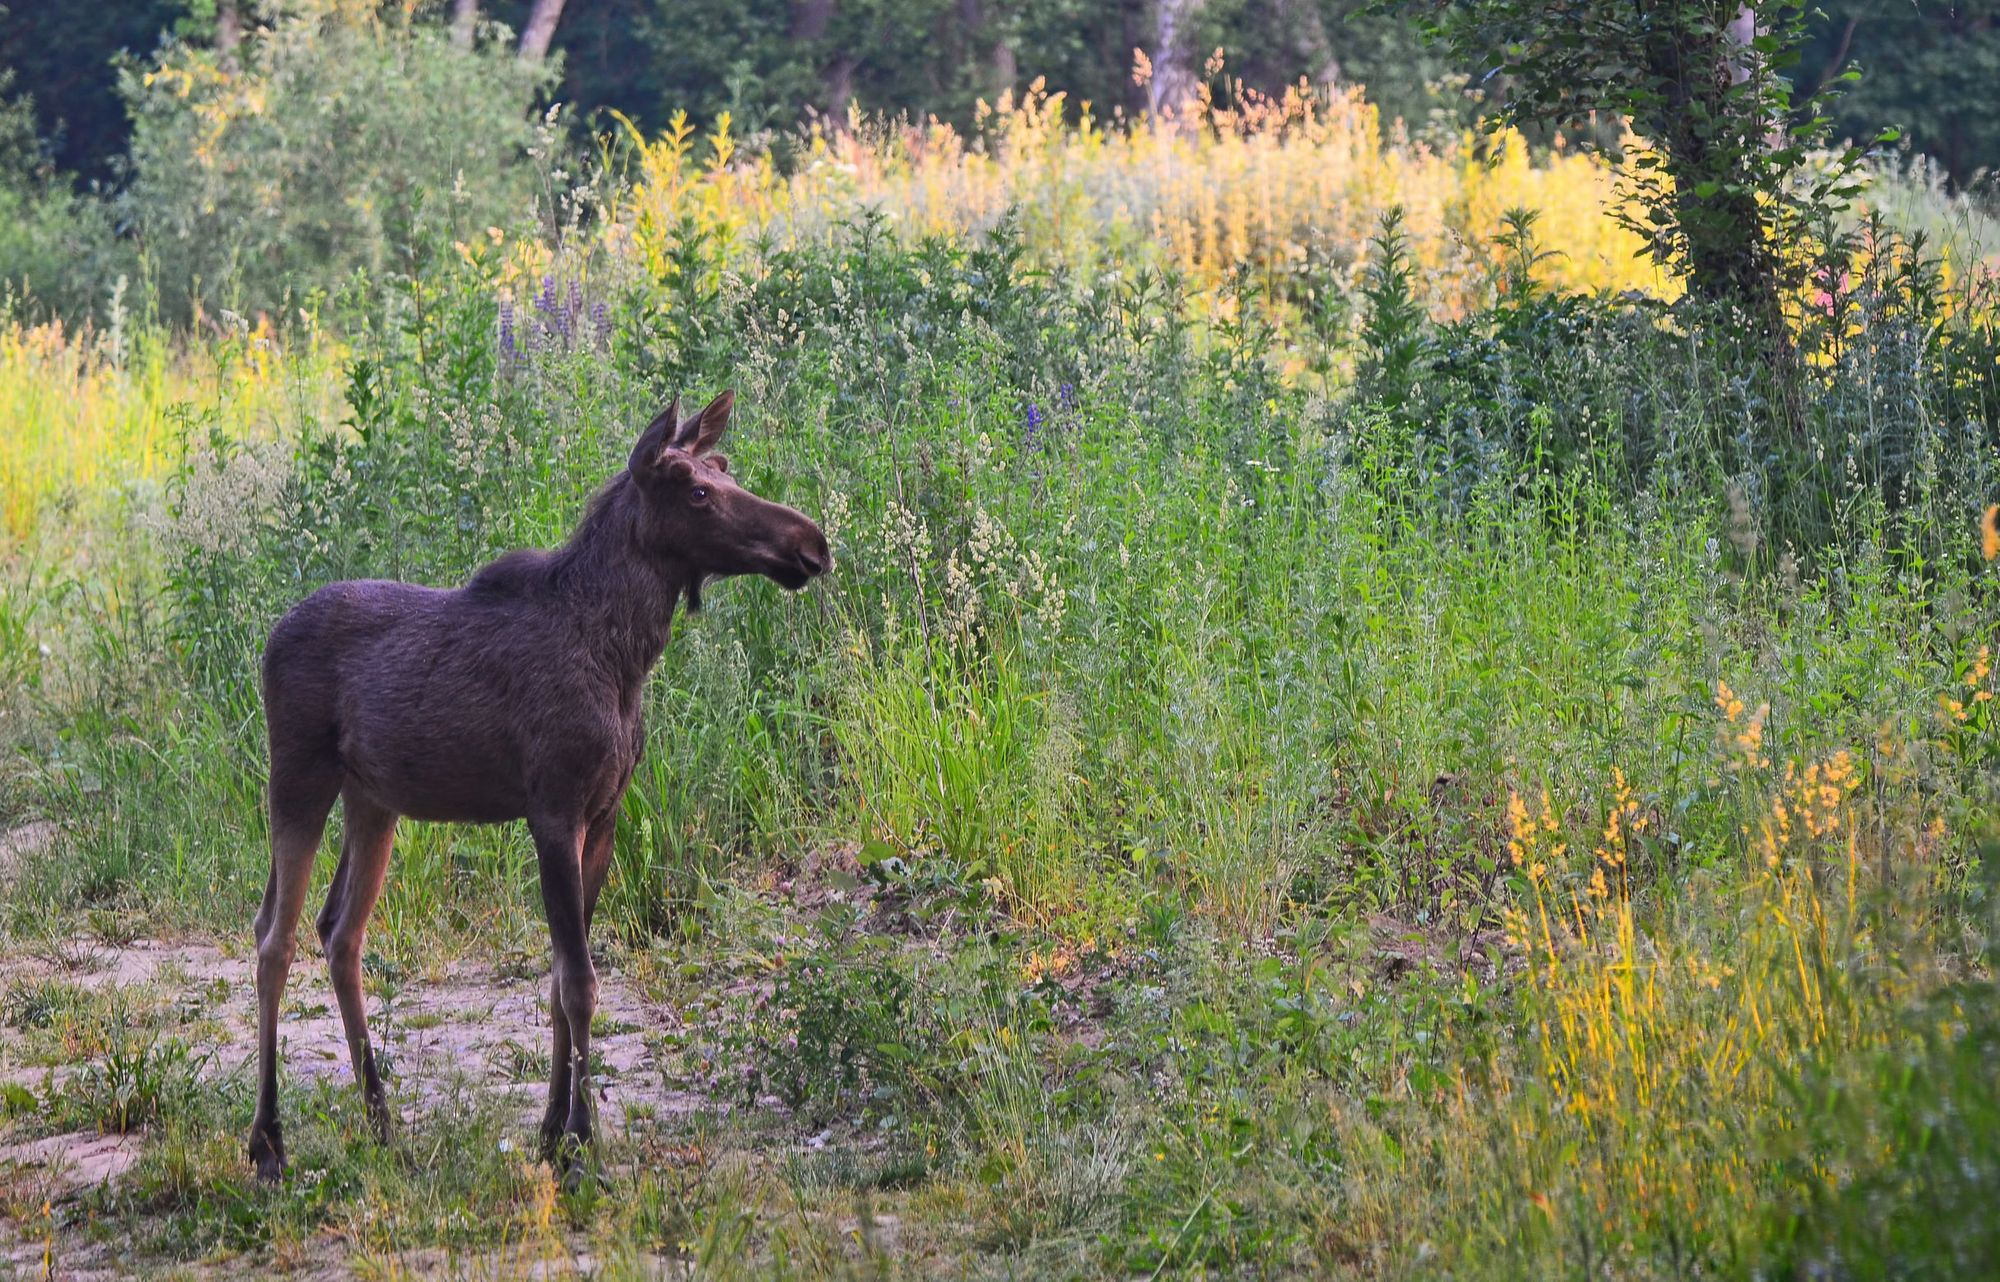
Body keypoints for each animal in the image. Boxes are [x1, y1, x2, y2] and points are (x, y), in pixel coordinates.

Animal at [250, 390, 828, 1184]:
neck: (625, 656)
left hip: (374, 801)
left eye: (727, 469)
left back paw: (384, 1125)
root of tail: (267, 639)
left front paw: (554, 1132)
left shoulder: (604, 816)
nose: (813, 543)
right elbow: (580, 984)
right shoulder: (552, 810)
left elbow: (558, 983)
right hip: (298, 774)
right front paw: (583, 1145)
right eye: (699, 493)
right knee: (272, 939)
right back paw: (269, 1144)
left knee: (339, 932)